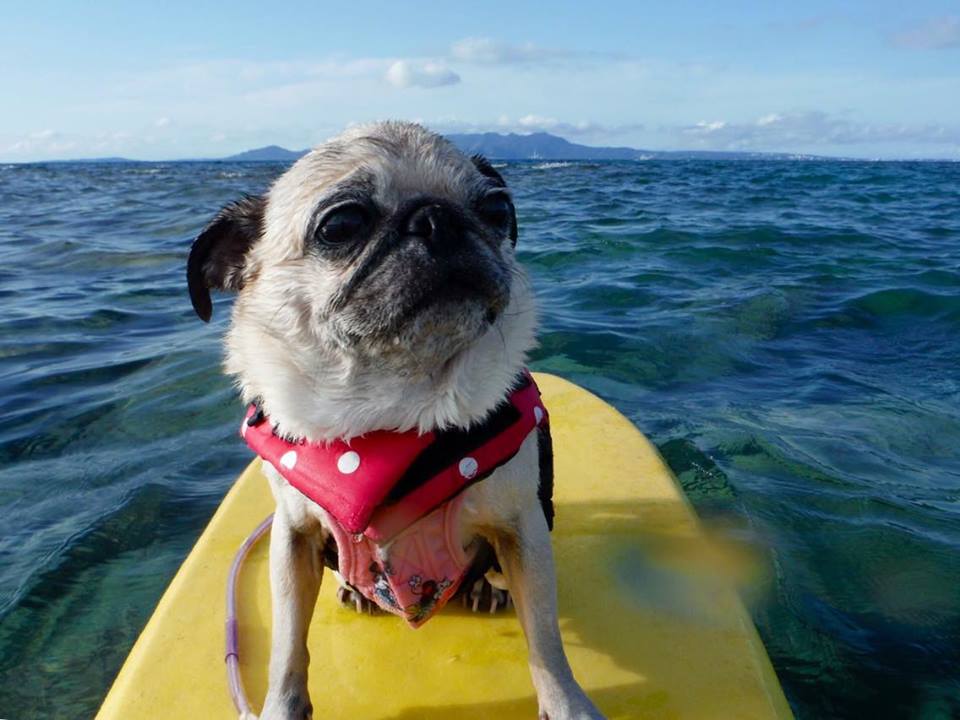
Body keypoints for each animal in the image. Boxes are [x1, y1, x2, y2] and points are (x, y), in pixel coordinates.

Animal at [186, 121, 600, 716]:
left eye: (497, 209)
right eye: (341, 224)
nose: (437, 218)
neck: (395, 406)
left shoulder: (522, 528)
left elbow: (546, 643)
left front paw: (568, 704)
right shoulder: (292, 537)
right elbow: (287, 648)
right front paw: (282, 706)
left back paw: (487, 588)